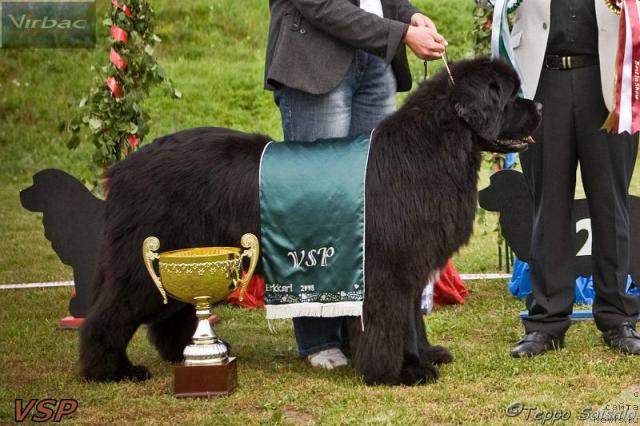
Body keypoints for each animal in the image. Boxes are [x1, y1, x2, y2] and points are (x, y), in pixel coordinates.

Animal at [79, 57, 540, 386]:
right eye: (509, 95)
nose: (537, 104)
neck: (436, 146)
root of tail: (123, 169)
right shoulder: (385, 269)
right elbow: (391, 324)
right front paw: (399, 373)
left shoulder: (407, 266)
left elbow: (412, 320)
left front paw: (424, 357)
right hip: (146, 261)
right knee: (109, 314)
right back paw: (110, 370)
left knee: (170, 314)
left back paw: (185, 354)